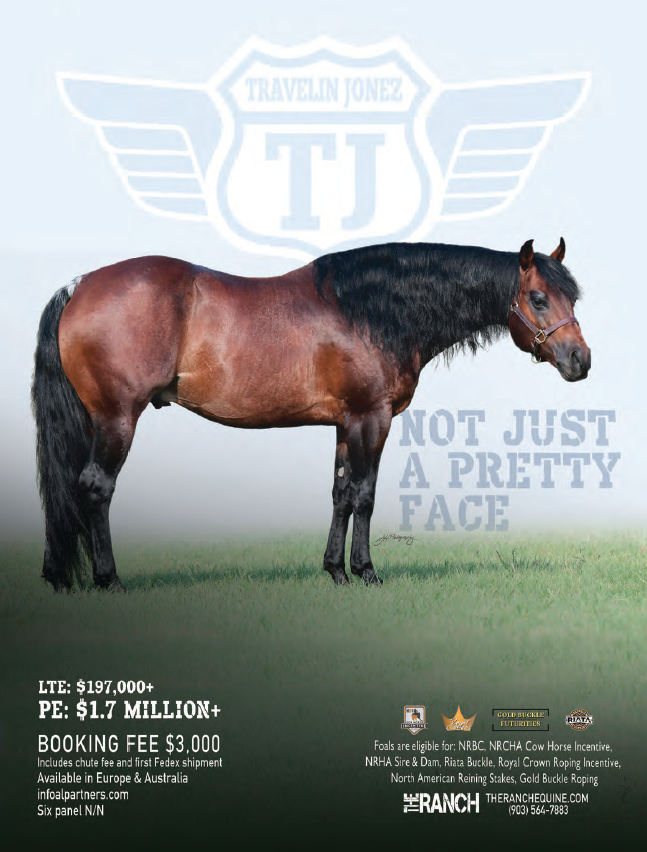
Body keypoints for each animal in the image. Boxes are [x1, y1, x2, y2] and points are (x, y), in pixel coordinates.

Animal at [31, 238, 590, 593]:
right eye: (538, 298)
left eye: (573, 295)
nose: (580, 360)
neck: (371, 312)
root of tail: (79, 287)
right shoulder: (372, 418)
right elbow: (364, 495)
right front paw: (367, 572)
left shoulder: (345, 424)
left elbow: (341, 494)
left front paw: (335, 571)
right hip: (116, 419)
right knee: (95, 488)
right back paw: (109, 580)